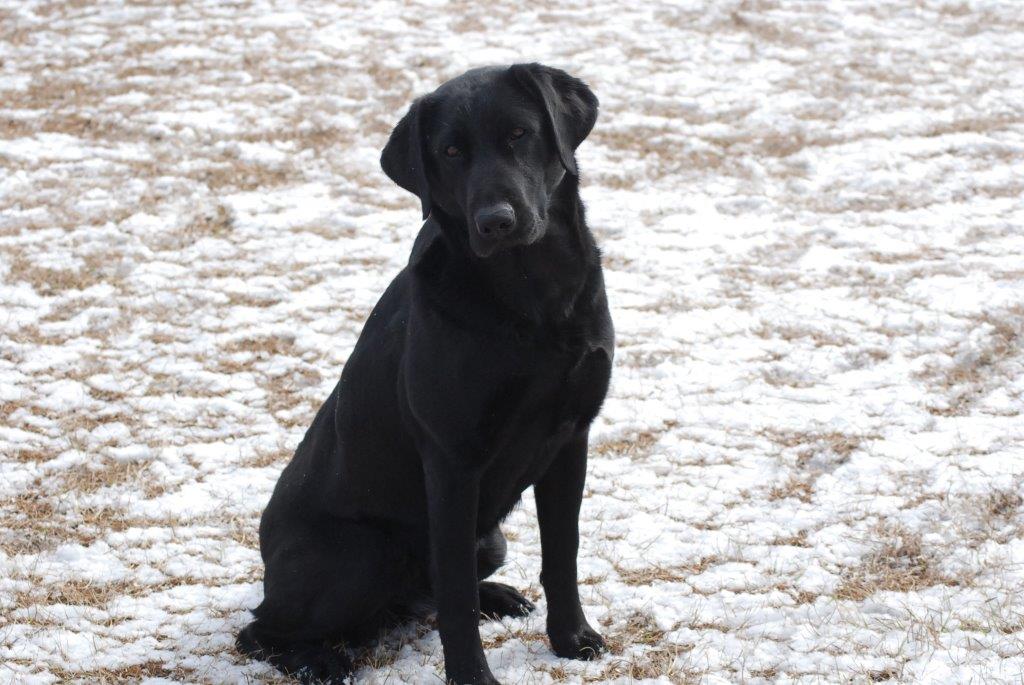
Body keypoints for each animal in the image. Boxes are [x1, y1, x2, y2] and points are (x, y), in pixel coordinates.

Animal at [235, 63, 610, 683]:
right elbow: (455, 595)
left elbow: (563, 554)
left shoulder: (570, 439)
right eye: (451, 151)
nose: (496, 222)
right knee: (259, 631)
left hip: (489, 539)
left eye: (519, 134)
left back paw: (498, 597)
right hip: (364, 553)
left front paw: (571, 638)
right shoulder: (453, 464)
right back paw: (320, 660)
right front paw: (473, 678)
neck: (530, 294)